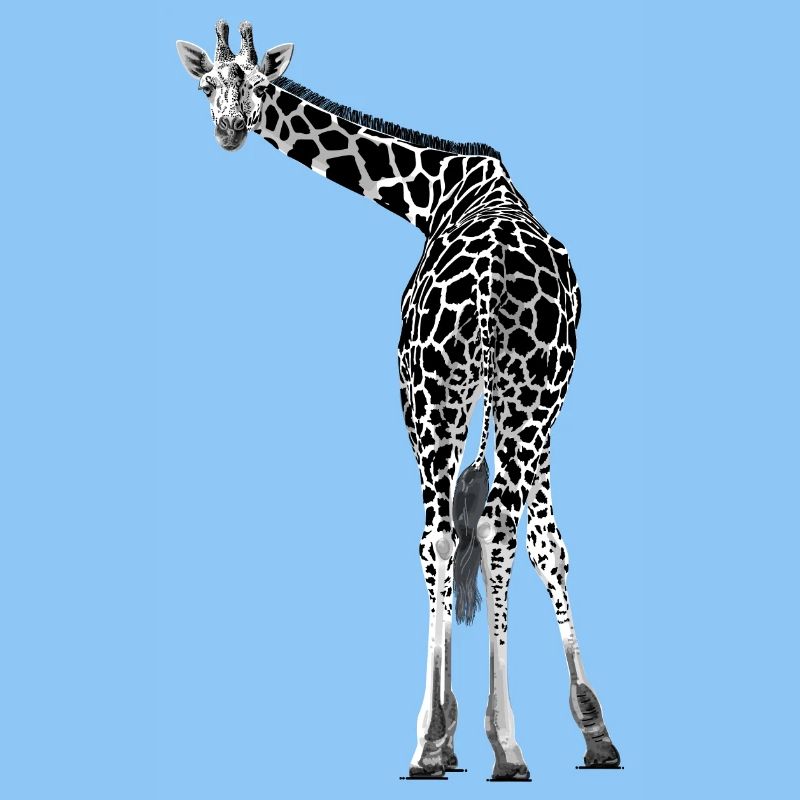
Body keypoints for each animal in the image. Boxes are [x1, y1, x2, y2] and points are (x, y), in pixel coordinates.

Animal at [177, 20, 622, 780]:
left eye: (259, 85)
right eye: (208, 84)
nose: (229, 130)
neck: (438, 189)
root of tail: (492, 279)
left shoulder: (428, 392)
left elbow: (447, 541)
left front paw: (442, 735)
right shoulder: (542, 400)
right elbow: (545, 540)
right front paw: (585, 728)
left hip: (434, 396)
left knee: (440, 536)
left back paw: (443, 742)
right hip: (527, 394)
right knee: (504, 528)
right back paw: (521, 745)